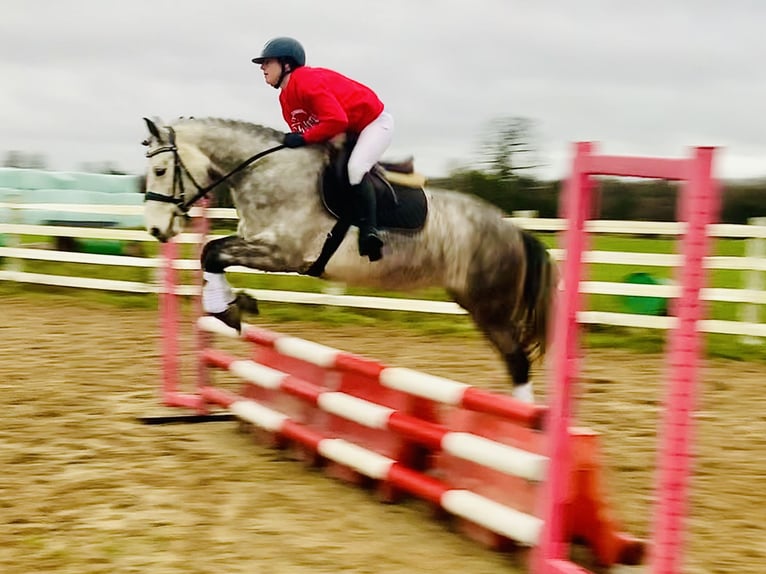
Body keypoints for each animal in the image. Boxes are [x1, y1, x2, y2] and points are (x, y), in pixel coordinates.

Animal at [141, 117, 560, 402]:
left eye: (160, 170)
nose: (156, 229)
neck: (268, 173)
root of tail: (513, 230)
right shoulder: (256, 241)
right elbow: (212, 253)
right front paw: (233, 303)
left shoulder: (282, 253)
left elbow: (212, 252)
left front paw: (228, 310)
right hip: (476, 302)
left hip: (490, 306)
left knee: (517, 360)